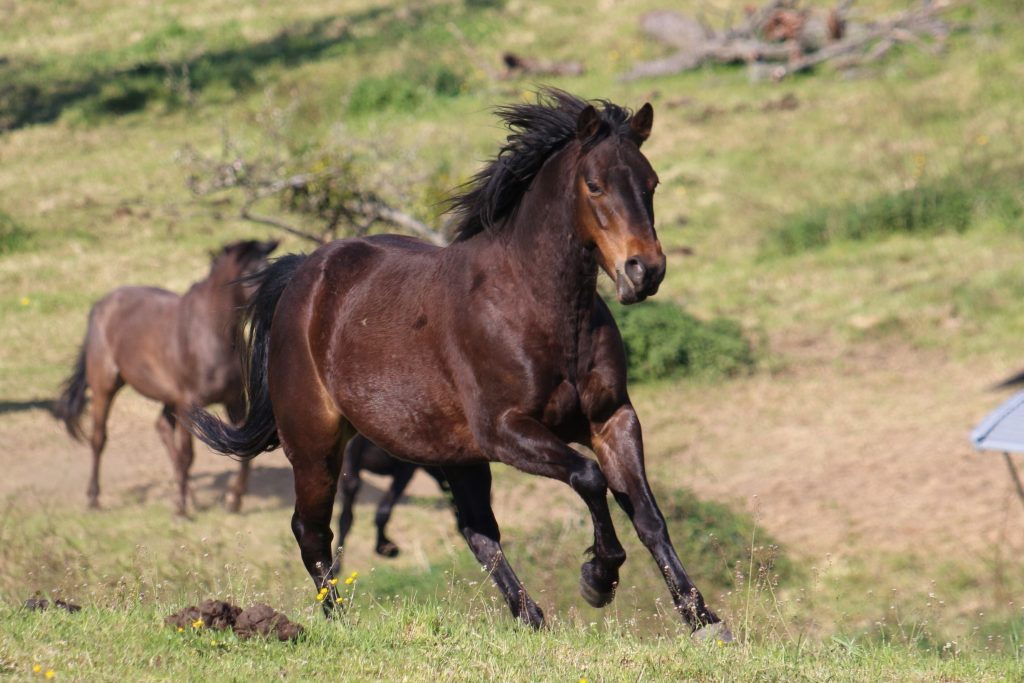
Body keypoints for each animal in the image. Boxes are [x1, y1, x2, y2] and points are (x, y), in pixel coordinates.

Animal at [54, 237, 278, 516]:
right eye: (250, 273)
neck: (211, 335)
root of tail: (101, 306)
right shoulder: (189, 404)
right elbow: (187, 455)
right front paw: (181, 509)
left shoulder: (235, 401)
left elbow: (242, 448)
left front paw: (233, 500)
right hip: (105, 388)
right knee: (99, 438)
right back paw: (94, 498)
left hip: (167, 398)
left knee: (161, 427)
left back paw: (190, 494)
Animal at [192, 90, 733, 643]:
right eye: (595, 184)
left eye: (651, 182)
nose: (644, 271)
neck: (538, 308)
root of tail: (303, 274)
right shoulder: (505, 430)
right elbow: (589, 478)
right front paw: (598, 579)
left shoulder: (612, 419)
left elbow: (648, 515)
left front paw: (703, 620)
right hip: (315, 443)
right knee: (312, 531)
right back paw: (339, 621)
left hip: (452, 453)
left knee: (476, 532)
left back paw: (530, 616)